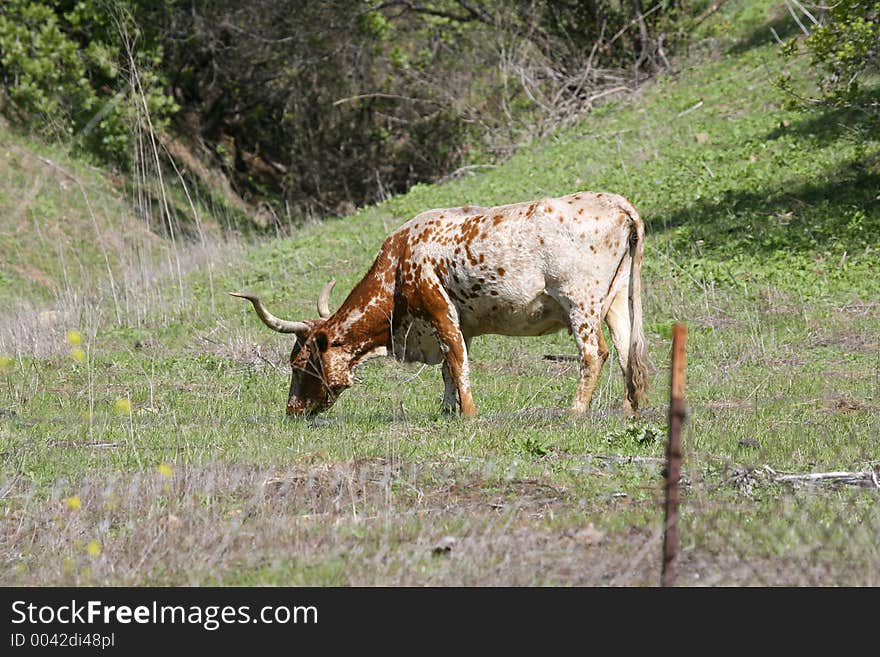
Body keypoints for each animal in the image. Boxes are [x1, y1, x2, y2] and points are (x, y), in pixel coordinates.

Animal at [232, 191, 648, 416]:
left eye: (301, 363)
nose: (292, 410)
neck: (399, 264)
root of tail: (613, 202)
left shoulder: (439, 311)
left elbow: (457, 362)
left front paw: (467, 414)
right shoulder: (461, 322)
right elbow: (449, 367)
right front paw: (448, 410)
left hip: (580, 302)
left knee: (595, 354)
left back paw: (574, 411)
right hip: (615, 302)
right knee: (627, 351)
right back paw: (629, 408)